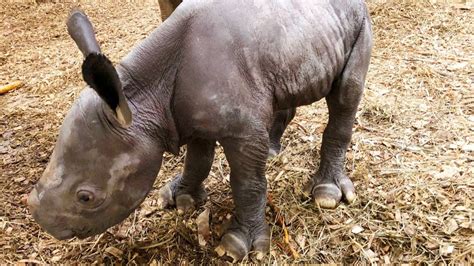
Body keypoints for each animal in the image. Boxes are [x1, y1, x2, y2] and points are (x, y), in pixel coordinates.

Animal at [27, 0, 372, 262]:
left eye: (86, 198)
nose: (41, 220)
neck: (144, 96)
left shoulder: (242, 132)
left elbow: (247, 183)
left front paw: (238, 246)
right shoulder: (186, 116)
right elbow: (197, 159)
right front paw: (180, 199)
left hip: (359, 21)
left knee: (345, 96)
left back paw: (326, 195)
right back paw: (274, 150)